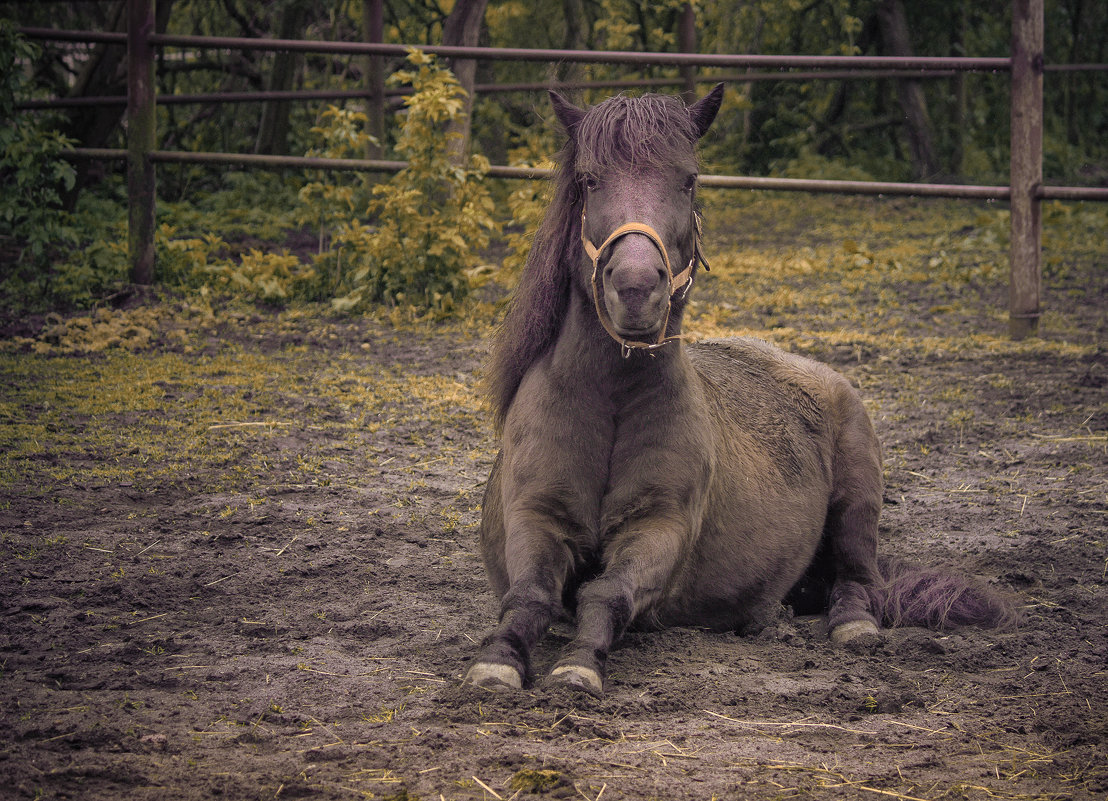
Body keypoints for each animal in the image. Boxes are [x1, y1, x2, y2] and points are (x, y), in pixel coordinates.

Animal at [463, 83, 1014, 695]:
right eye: (588, 180)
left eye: (688, 180)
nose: (635, 287)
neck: (609, 400)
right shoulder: (535, 516)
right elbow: (529, 596)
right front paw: (499, 660)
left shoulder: (662, 527)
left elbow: (606, 593)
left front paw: (579, 664)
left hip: (858, 504)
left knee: (858, 579)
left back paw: (850, 625)